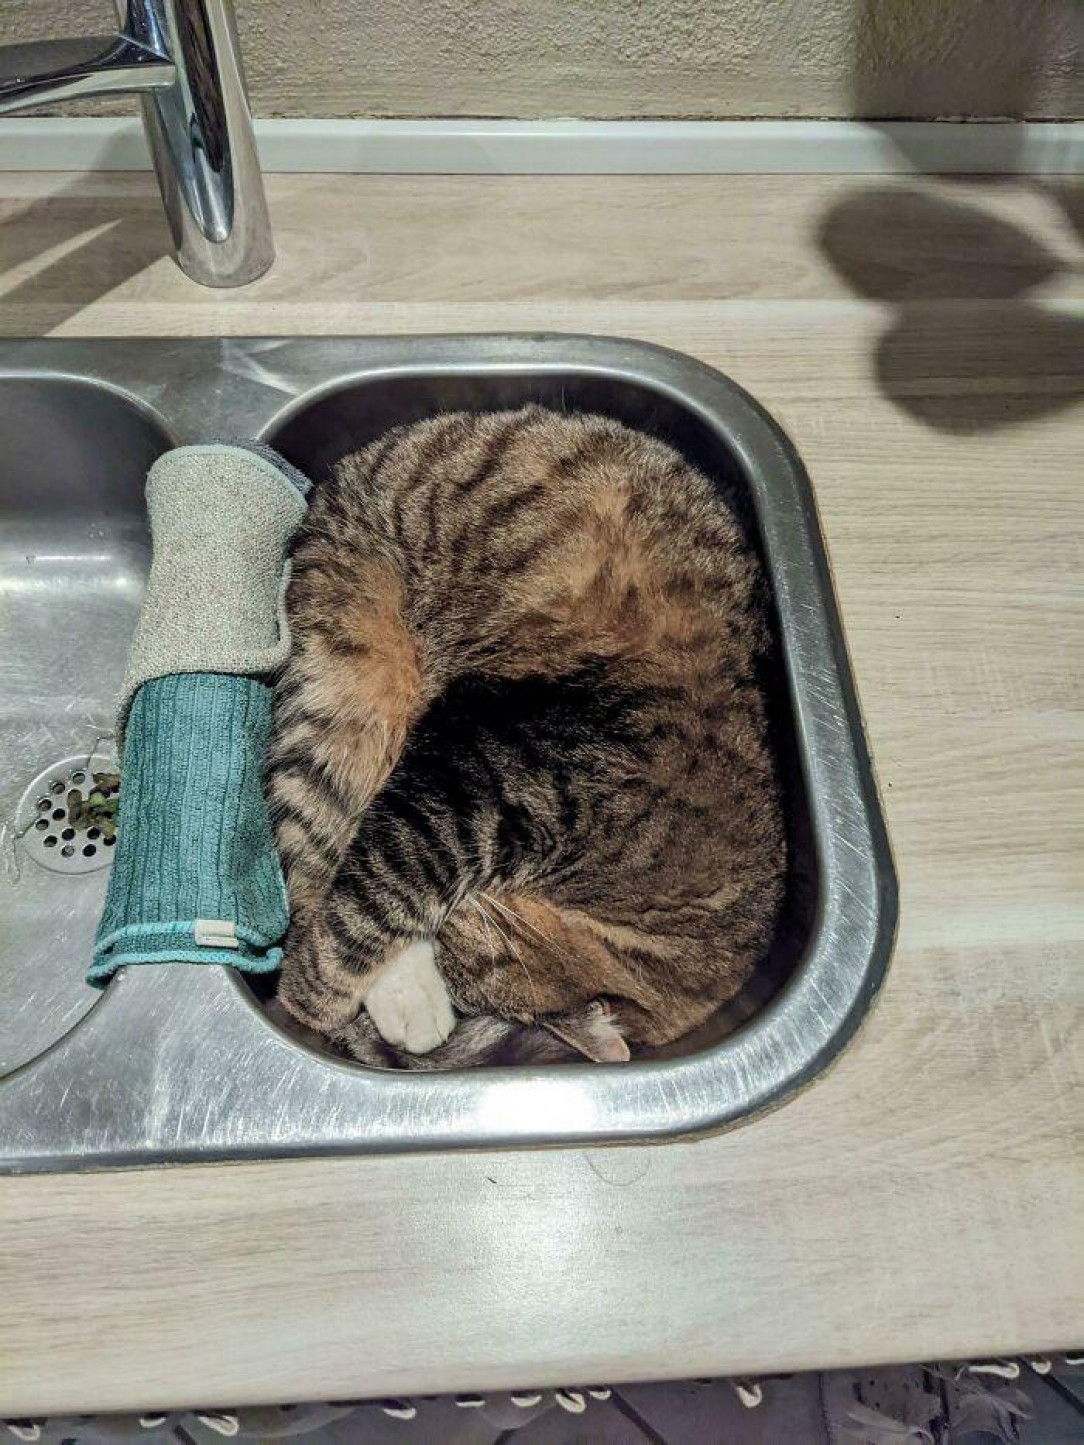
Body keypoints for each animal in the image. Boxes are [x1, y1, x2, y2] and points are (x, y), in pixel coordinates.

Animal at [267, 404, 786, 1063]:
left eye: (472, 975)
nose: (445, 950)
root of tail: (335, 482)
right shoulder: (481, 766)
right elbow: (374, 898)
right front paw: (310, 999)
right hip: (347, 684)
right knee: (316, 858)